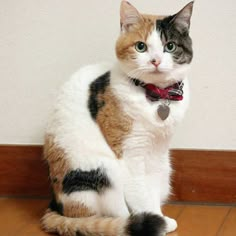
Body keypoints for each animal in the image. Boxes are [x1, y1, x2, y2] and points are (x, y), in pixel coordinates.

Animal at [41, 0, 194, 235]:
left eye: (170, 46)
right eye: (141, 46)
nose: (156, 61)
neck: (157, 96)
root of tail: (56, 206)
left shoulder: (158, 151)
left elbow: (153, 186)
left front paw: (158, 215)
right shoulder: (131, 153)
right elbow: (141, 193)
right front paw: (157, 219)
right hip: (104, 171)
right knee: (112, 216)